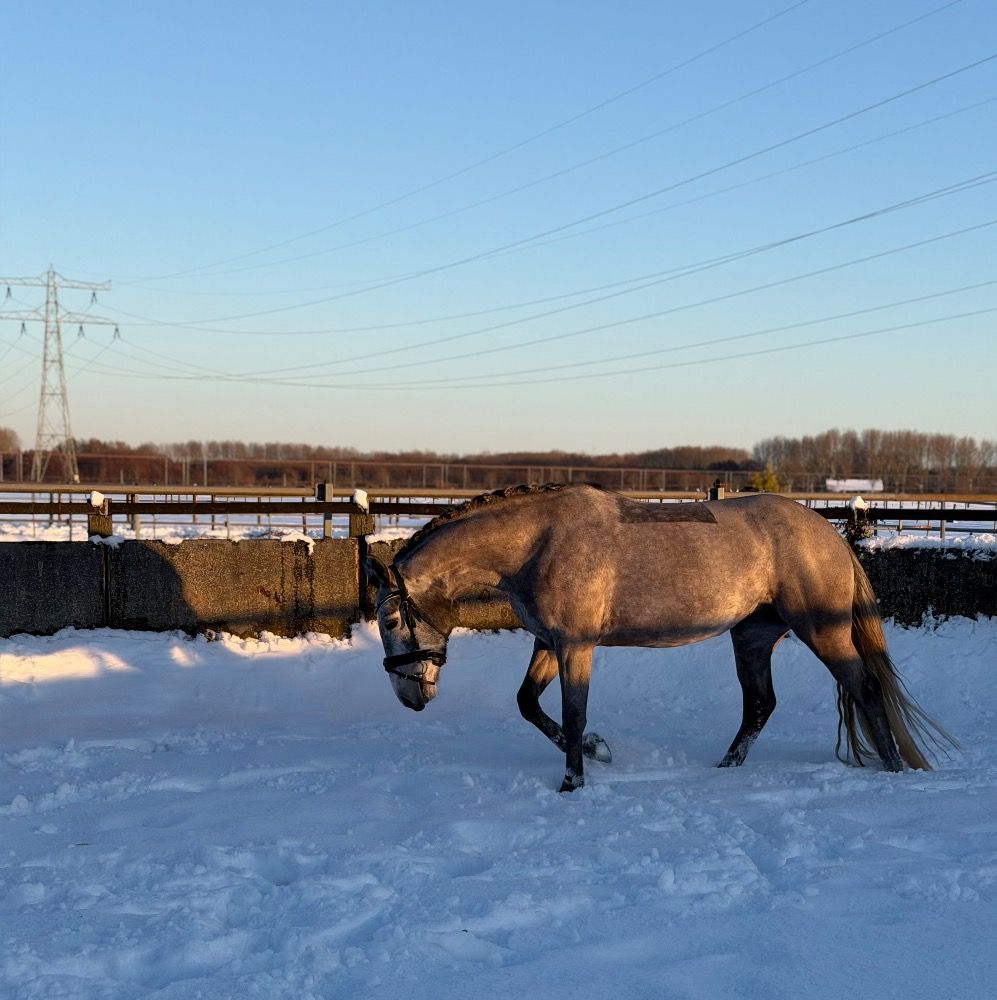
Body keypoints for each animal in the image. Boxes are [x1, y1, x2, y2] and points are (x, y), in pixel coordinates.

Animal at [365, 484, 954, 792]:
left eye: (390, 622)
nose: (409, 696)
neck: (538, 542)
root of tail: (830, 536)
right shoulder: (548, 642)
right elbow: (528, 704)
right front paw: (598, 751)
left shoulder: (576, 645)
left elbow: (572, 712)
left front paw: (574, 781)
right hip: (752, 638)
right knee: (760, 704)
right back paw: (725, 770)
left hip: (822, 629)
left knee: (865, 686)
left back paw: (893, 769)